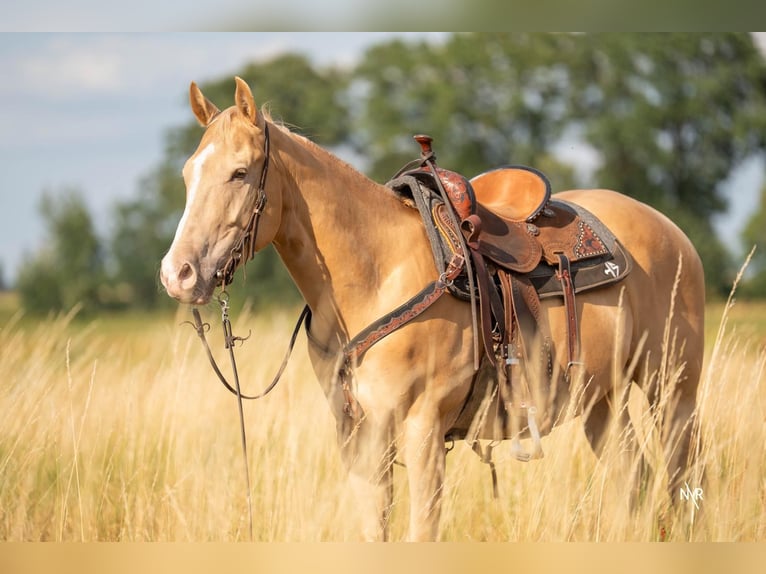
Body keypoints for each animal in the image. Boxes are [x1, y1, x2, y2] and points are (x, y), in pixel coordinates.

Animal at [160, 77, 705, 541]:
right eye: (187, 174)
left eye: (240, 172)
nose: (177, 273)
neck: (377, 274)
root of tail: (670, 230)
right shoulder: (360, 437)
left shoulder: (422, 428)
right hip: (601, 401)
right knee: (633, 479)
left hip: (672, 388)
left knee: (679, 478)